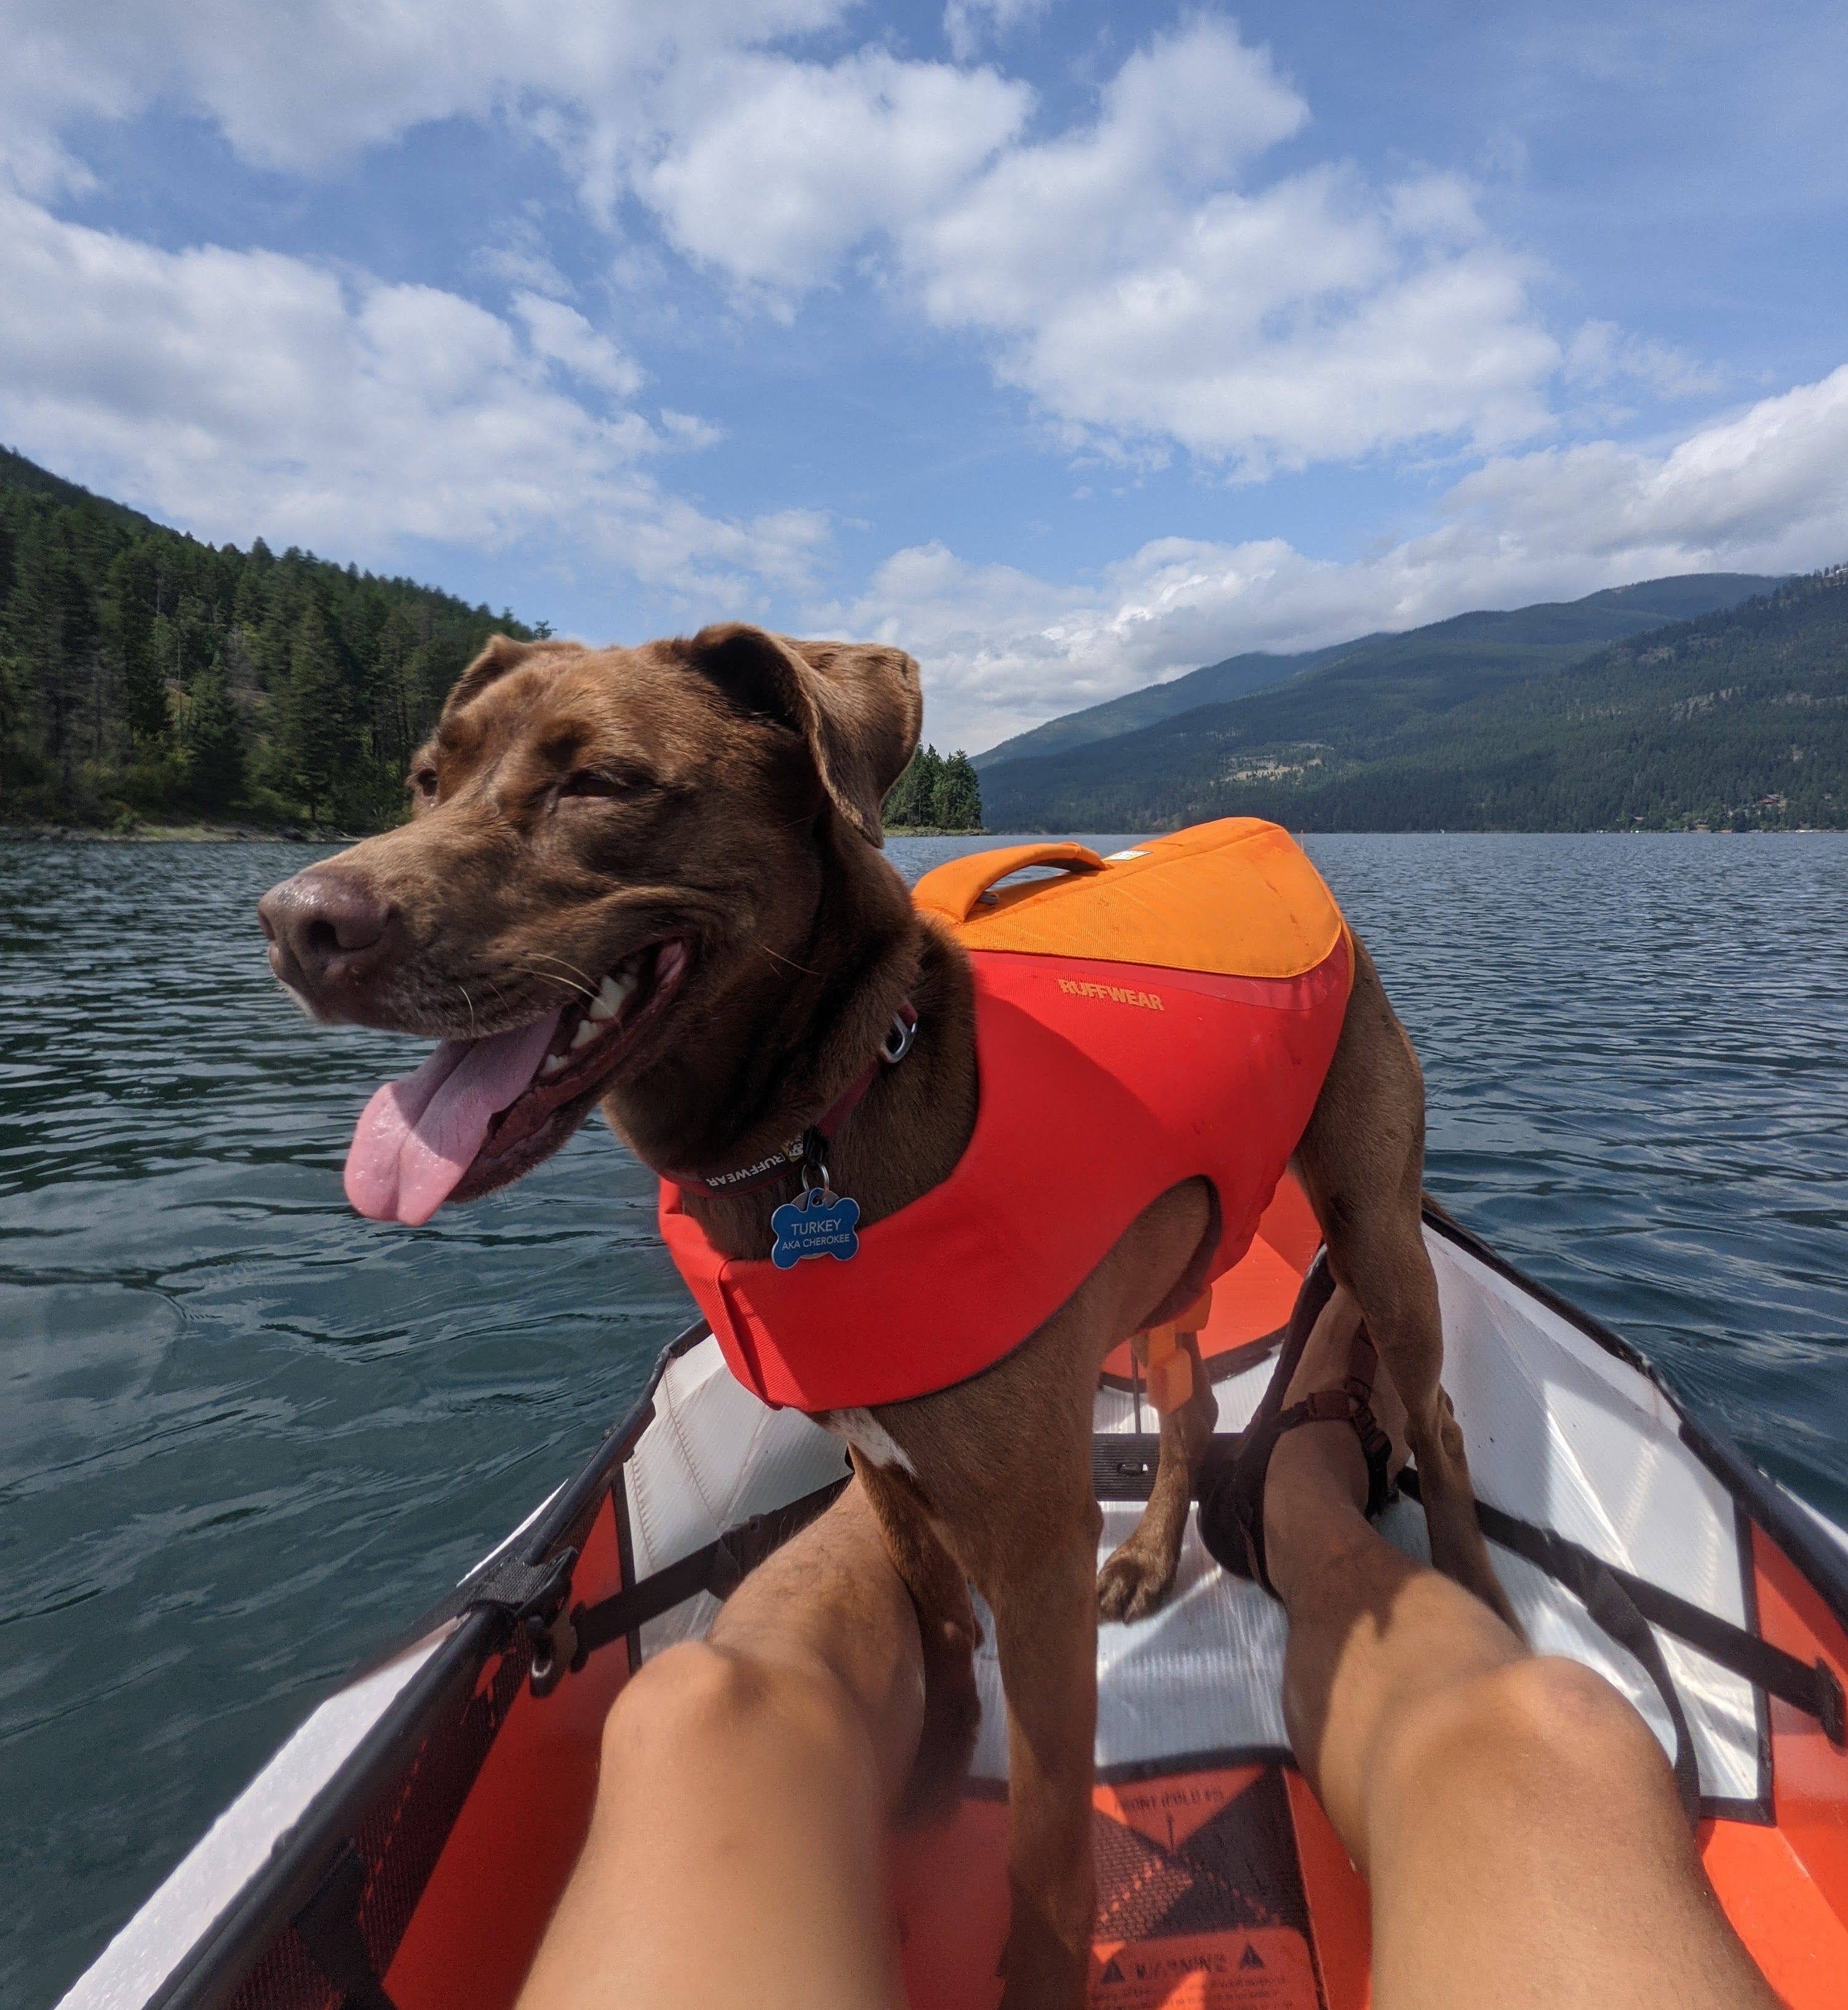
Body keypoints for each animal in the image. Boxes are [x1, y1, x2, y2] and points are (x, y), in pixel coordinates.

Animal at [253, 627, 1512, 2010]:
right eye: (425, 778)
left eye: (599, 782)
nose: (298, 923)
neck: (823, 1119)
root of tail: (1272, 843)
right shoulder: (884, 1464)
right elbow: (942, 1631)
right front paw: (923, 1789)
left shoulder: (1032, 1540)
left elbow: (1048, 1827)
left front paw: (1037, 1970)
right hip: (1181, 1261)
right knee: (1184, 1409)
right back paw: (1146, 1553)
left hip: (1371, 1223)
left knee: (1435, 1418)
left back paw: (1478, 1591)